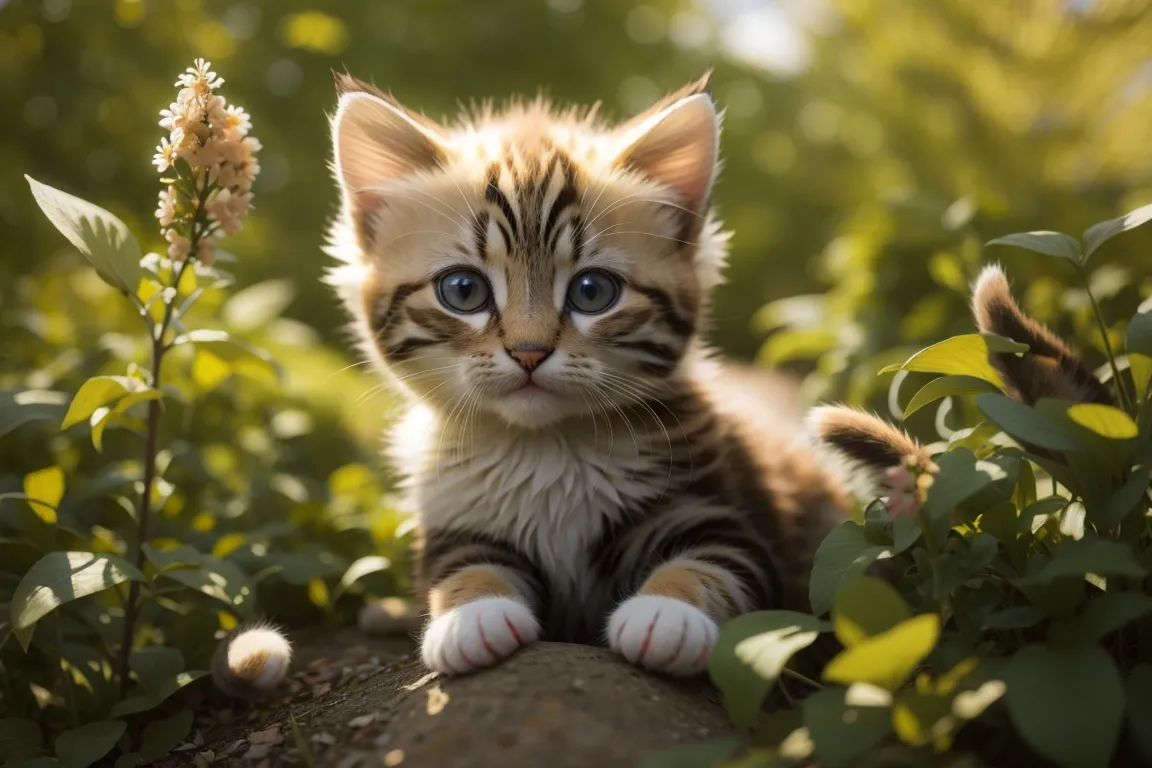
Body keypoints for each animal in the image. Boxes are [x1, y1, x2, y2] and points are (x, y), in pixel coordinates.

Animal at [214, 71, 926, 695]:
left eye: (592, 292)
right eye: (463, 290)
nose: (529, 352)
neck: (546, 450)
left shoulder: (725, 510)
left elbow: (715, 563)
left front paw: (668, 614)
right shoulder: (455, 525)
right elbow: (462, 569)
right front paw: (471, 616)